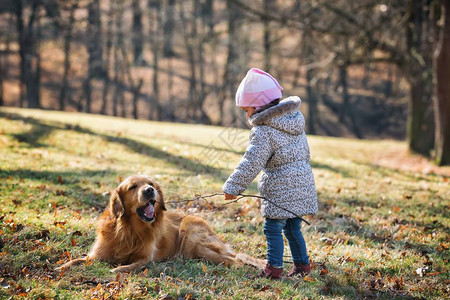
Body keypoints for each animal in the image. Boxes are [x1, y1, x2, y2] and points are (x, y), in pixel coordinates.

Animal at [57, 175, 266, 274]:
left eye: (150, 183)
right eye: (133, 187)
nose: (150, 190)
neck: (130, 230)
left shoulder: (145, 259)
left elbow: (130, 266)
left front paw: (117, 269)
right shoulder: (97, 254)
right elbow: (77, 260)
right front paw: (60, 267)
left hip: (193, 239)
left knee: (235, 260)